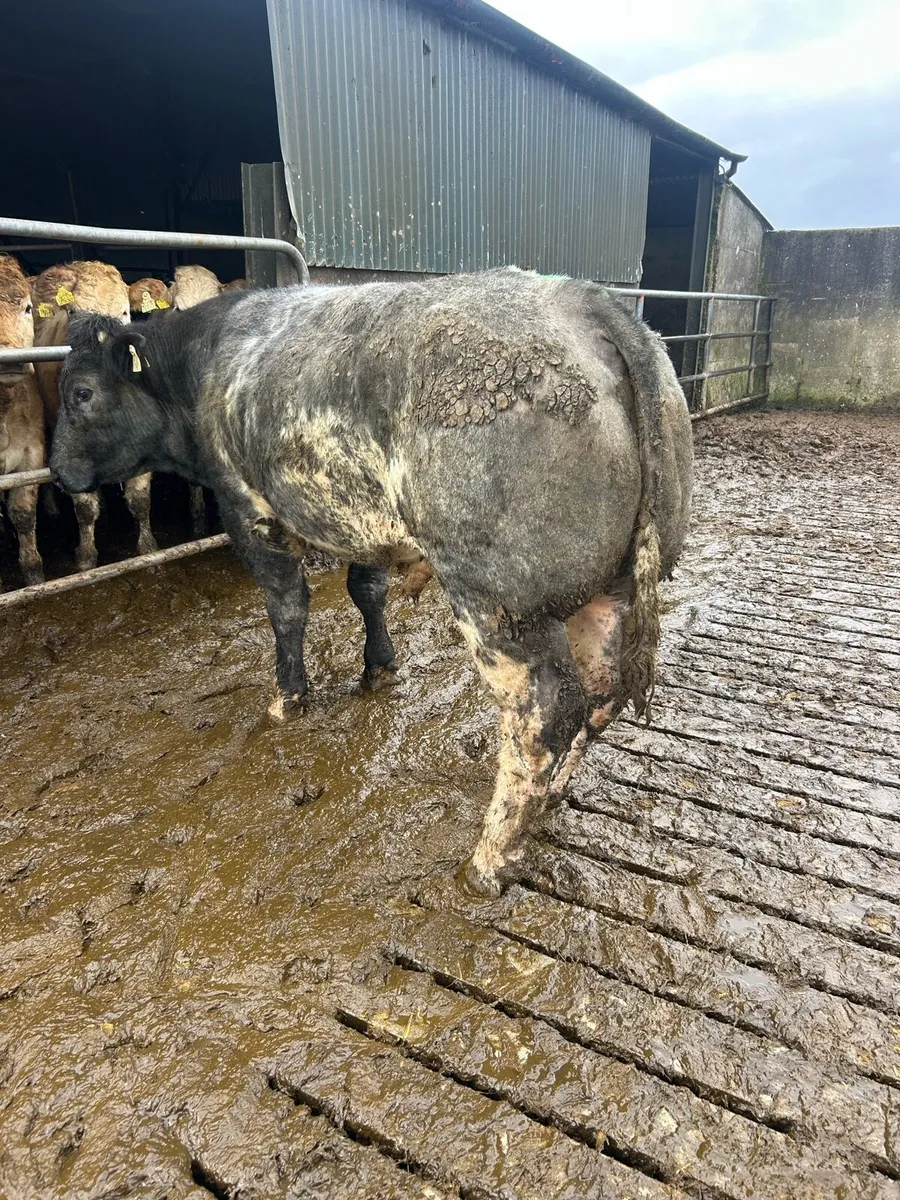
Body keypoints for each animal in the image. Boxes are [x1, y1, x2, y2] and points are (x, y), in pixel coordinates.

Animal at [32, 261, 157, 567]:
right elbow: (85, 508)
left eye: (125, 312)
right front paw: (86, 556)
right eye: (72, 311)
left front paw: (149, 549)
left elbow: (140, 500)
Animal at [50, 269, 693, 896]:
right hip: (609, 588)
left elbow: (287, 608)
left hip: (498, 602)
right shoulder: (364, 526)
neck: (204, 364)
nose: (56, 472)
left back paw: (488, 859)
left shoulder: (249, 513)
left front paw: (287, 699)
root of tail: (587, 302)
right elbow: (367, 591)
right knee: (602, 693)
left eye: (81, 392)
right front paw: (378, 667)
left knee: (545, 714)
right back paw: (552, 797)